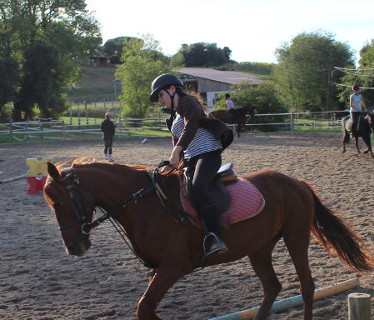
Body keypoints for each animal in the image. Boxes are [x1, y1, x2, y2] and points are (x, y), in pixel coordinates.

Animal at [43, 161, 372, 320]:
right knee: (272, 287)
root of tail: (297, 182)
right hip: (259, 247)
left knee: (306, 287)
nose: (74, 247)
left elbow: (144, 308)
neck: (144, 204)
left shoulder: (173, 267)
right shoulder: (159, 270)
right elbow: (146, 309)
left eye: (59, 202)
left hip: (295, 237)